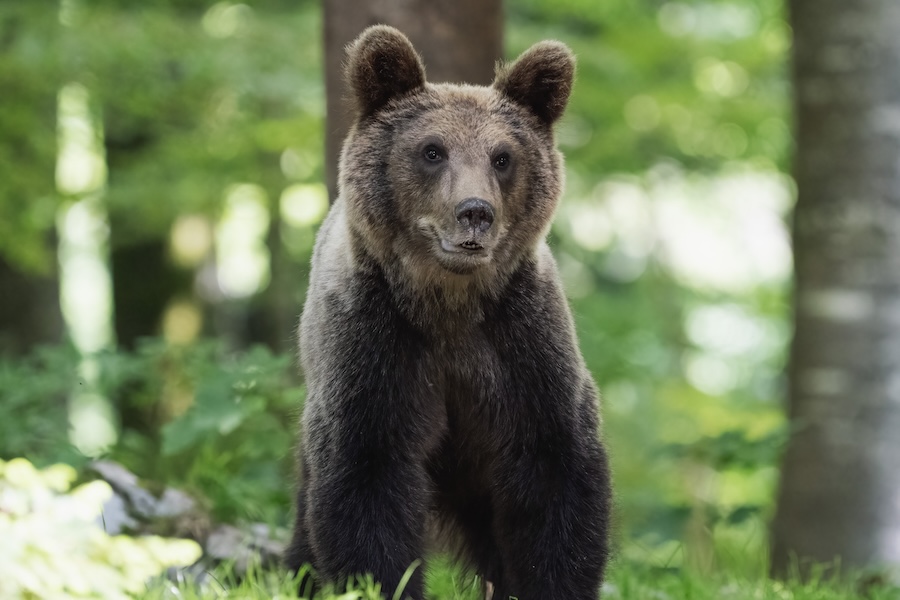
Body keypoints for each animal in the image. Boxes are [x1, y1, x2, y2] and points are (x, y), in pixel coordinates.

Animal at [286, 25, 612, 600]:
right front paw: (381, 581)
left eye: (502, 156)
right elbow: (367, 477)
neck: (449, 304)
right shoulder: (376, 347)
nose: (475, 212)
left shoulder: (522, 348)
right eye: (432, 150)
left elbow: (556, 471)